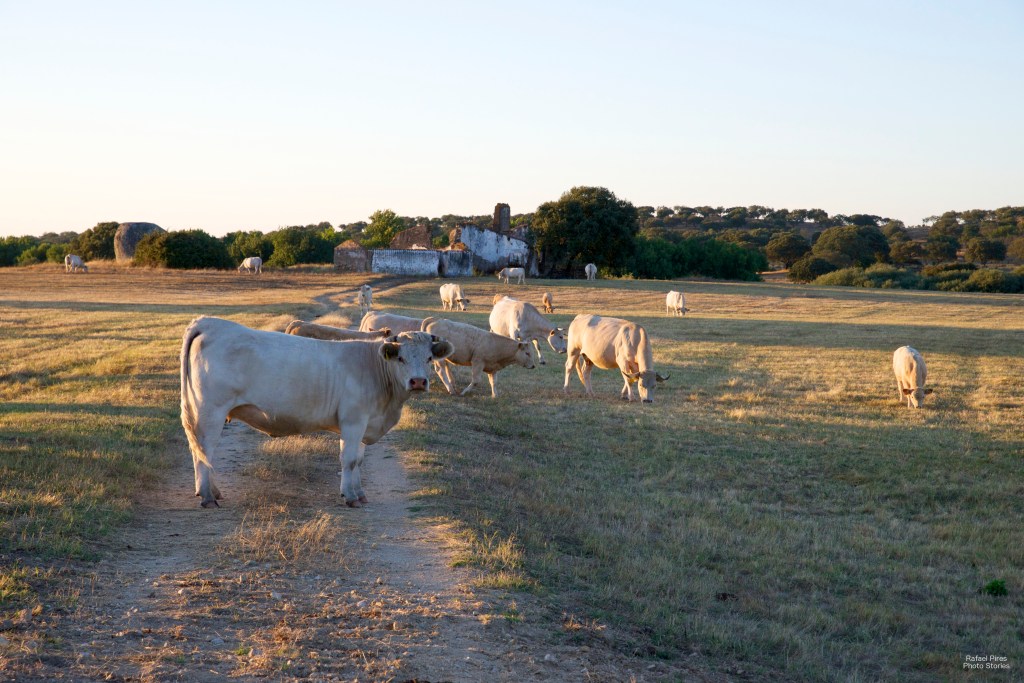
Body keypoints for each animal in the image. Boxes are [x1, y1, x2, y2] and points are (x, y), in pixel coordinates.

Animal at [180, 317, 453, 508]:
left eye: (429, 358)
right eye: (401, 358)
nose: (418, 382)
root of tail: (209, 322)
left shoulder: (364, 423)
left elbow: (359, 460)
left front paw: (360, 494)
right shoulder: (353, 420)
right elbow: (348, 459)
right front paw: (350, 496)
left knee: (199, 451)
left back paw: (211, 491)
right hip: (211, 411)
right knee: (204, 450)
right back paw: (207, 496)